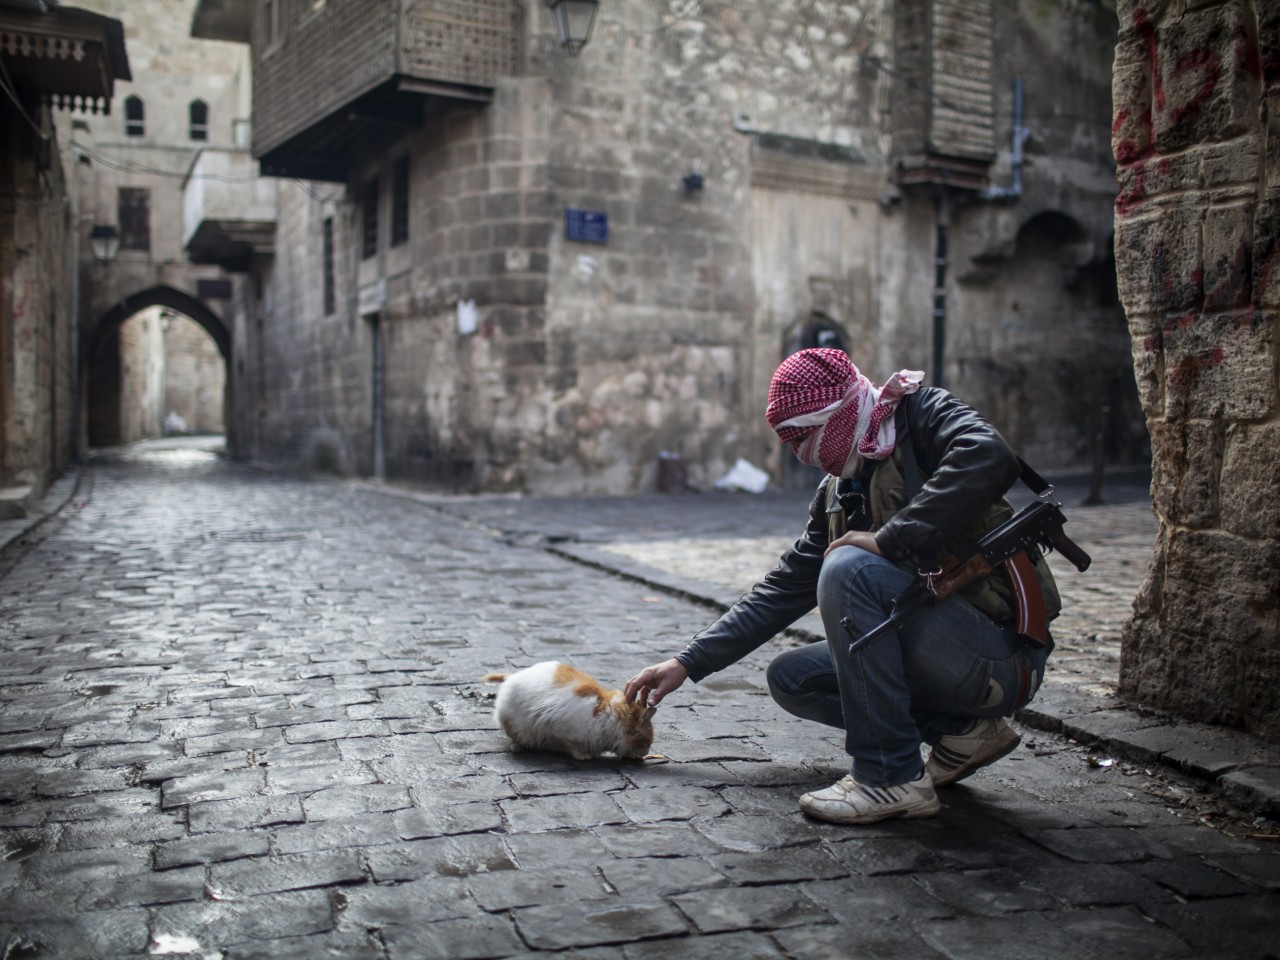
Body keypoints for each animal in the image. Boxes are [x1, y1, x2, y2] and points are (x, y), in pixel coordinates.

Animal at [481, 665, 655, 762]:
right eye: (647, 741)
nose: (646, 753)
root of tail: (513, 676)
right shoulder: (564, 733)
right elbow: (573, 747)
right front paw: (584, 757)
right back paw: (517, 747)